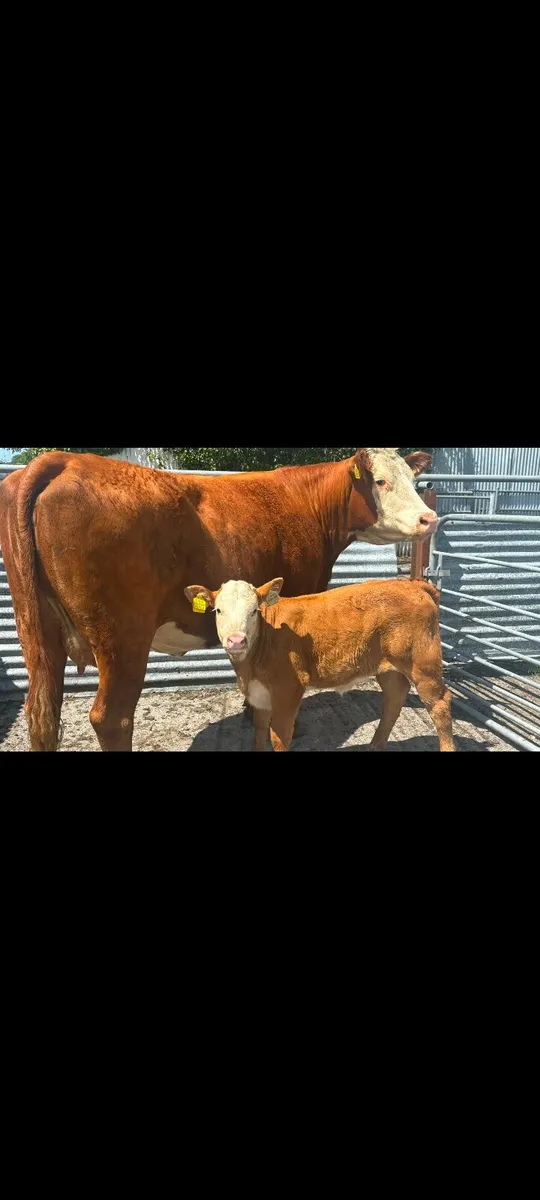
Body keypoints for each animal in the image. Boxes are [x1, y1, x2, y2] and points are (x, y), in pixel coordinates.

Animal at [184, 576, 454, 752]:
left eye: (254, 611)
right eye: (218, 610)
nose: (237, 640)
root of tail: (412, 583)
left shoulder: (288, 689)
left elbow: (279, 737)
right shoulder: (259, 693)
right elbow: (259, 735)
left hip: (423, 663)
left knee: (439, 705)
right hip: (388, 667)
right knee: (394, 699)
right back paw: (375, 746)